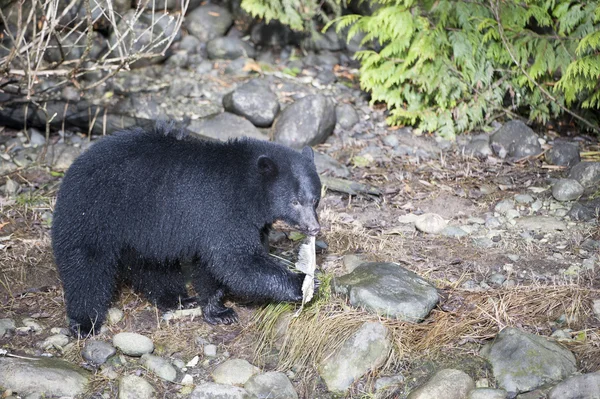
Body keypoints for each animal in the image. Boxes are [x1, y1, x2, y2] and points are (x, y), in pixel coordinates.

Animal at [51, 122, 322, 338]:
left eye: (315, 199)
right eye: (295, 201)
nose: (314, 228)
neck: (248, 189)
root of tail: (75, 166)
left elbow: (213, 266)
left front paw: (218, 311)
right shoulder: (223, 210)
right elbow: (236, 261)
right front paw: (303, 283)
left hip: (143, 231)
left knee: (151, 265)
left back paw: (177, 298)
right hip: (95, 211)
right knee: (86, 265)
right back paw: (84, 322)